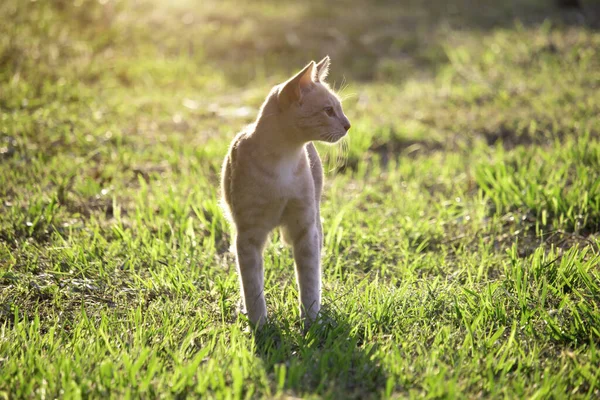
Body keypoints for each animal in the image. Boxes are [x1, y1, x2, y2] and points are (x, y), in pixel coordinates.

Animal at [220, 57, 352, 330]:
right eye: (328, 110)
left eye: (339, 108)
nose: (348, 125)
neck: (282, 162)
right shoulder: (248, 235)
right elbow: (252, 287)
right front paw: (259, 326)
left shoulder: (305, 228)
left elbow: (309, 283)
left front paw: (311, 324)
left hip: (314, 221)